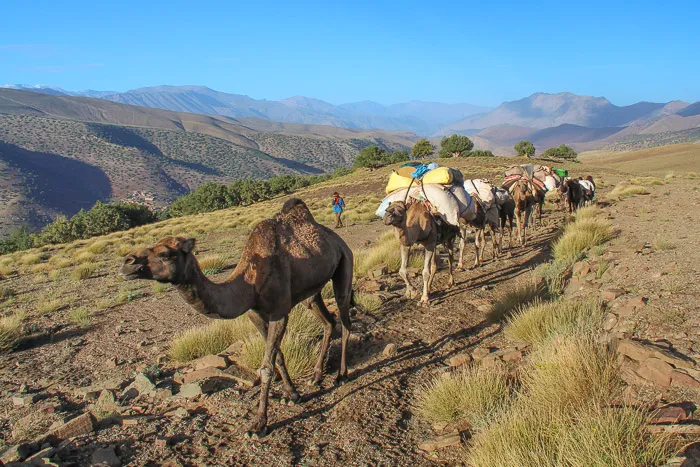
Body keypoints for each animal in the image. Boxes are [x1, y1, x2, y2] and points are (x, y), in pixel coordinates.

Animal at [119, 198, 353, 438]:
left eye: (165, 254)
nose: (128, 262)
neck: (249, 283)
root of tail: (337, 240)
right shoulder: (254, 314)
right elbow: (278, 356)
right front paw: (292, 395)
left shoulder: (279, 312)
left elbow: (266, 367)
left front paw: (259, 424)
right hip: (311, 293)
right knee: (328, 321)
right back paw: (316, 376)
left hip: (345, 265)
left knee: (345, 319)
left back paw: (341, 375)